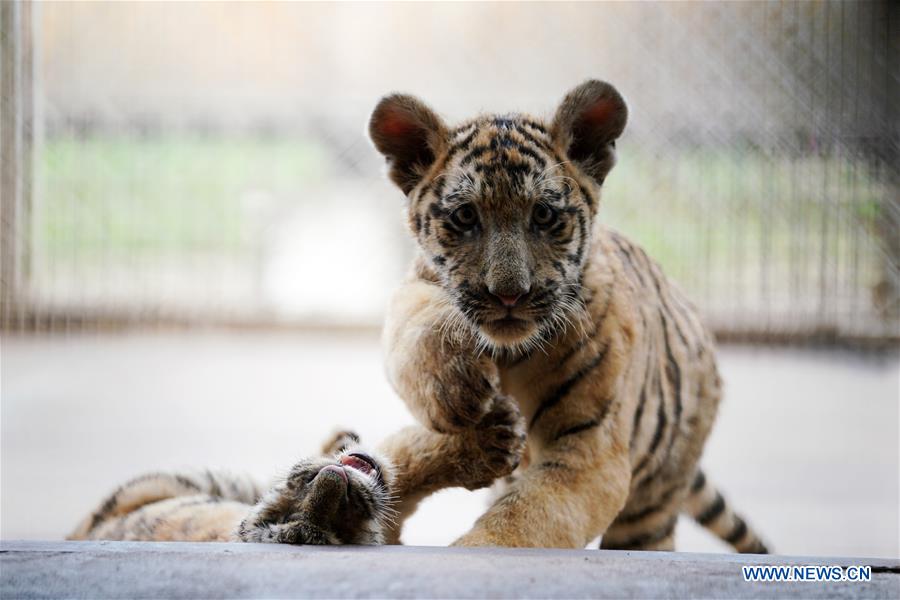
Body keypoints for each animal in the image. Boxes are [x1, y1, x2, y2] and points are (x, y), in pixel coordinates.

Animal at [69, 396, 524, 545]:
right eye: (338, 527)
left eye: (281, 515)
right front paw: (495, 436)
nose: (332, 481)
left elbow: (401, 461)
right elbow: (402, 465)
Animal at [370, 79, 769, 553]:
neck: (508, 355)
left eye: (544, 215)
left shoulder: (590, 453)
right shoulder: (417, 282)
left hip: (649, 510)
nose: (509, 295)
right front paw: (455, 390)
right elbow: (416, 323)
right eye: (465, 216)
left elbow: (525, 519)